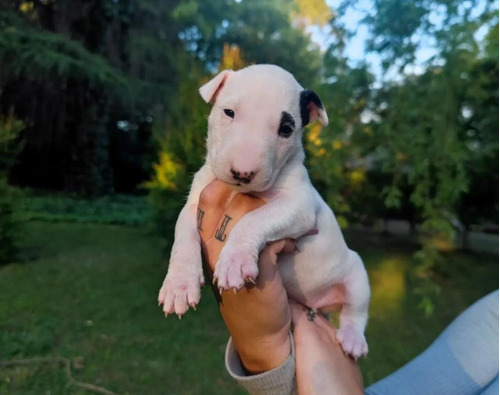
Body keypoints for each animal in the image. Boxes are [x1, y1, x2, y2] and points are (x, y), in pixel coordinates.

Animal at [158, 65, 370, 358]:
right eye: (229, 112)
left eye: (286, 128)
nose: (242, 173)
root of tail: (321, 301)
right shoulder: (195, 204)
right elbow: (182, 234)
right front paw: (179, 285)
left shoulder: (300, 206)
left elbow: (253, 219)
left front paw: (235, 261)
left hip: (357, 273)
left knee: (355, 310)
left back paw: (352, 339)